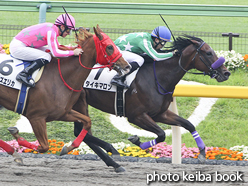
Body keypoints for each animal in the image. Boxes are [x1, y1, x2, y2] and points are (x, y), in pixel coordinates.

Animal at [0, 24, 130, 170]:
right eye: (109, 46)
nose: (127, 66)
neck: (60, 76)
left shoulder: (63, 113)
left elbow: (87, 122)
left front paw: (68, 148)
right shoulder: (36, 117)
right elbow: (44, 147)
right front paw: (17, 137)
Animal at [71, 35, 231, 163]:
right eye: (209, 53)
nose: (226, 73)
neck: (157, 78)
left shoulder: (160, 114)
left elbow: (189, 124)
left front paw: (202, 152)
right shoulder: (136, 116)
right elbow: (161, 134)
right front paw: (138, 142)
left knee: (82, 132)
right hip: (78, 103)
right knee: (81, 131)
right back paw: (113, 153)